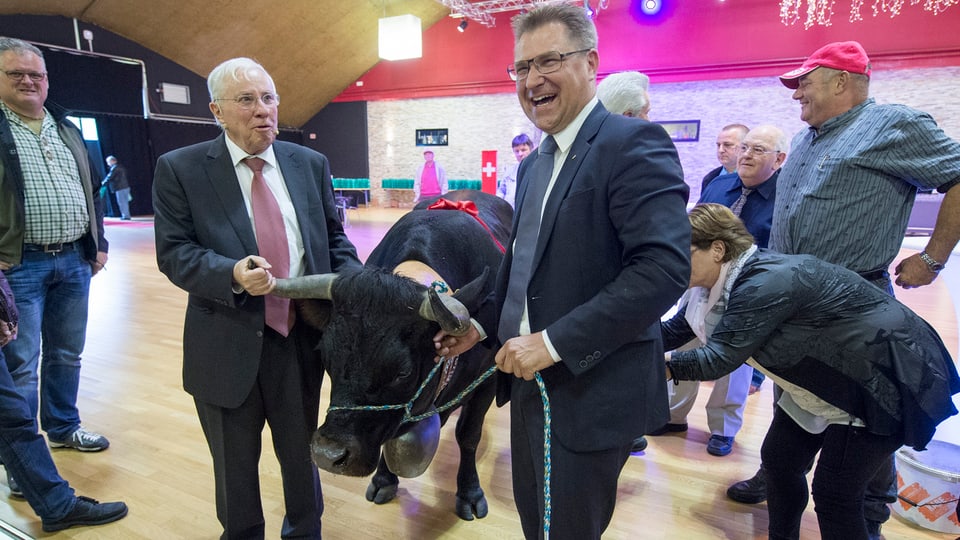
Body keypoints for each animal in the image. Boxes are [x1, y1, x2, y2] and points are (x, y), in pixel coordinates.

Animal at [272, 192, 510, 520]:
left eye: (403, 372)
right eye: (326, 357)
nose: (327, 454)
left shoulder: (487, 382)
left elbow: (468, 436)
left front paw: (469, 492)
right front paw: (384, 479)